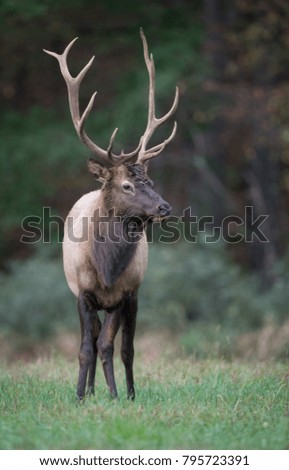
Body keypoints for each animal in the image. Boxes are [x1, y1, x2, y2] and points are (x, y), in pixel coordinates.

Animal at [43, 30, 177, 400]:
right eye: (127, 185)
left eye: (151, 181)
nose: (165, 208)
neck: (106, 269)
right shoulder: (83, 294)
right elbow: (85, 348)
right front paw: (78, 396)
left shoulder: (127, 294)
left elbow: (113, 346)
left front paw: (119, 396)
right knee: (92, 337)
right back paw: (90, 390)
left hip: (131, 299)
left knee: (120, 345)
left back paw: (120, 391)